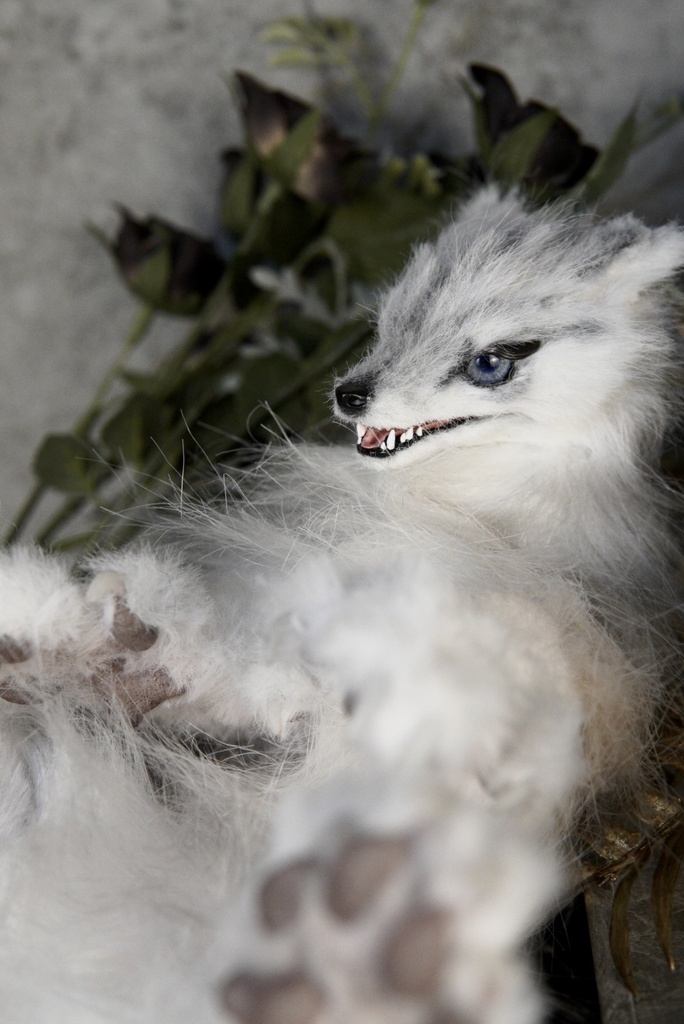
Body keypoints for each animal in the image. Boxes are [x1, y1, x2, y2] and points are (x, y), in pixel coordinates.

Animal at [0, 187, 682, 1023]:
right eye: (387, 325)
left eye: (492, 362)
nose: (349, 394)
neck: (476, 505)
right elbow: (246, 682)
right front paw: (109, 652)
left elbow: (489, 663)